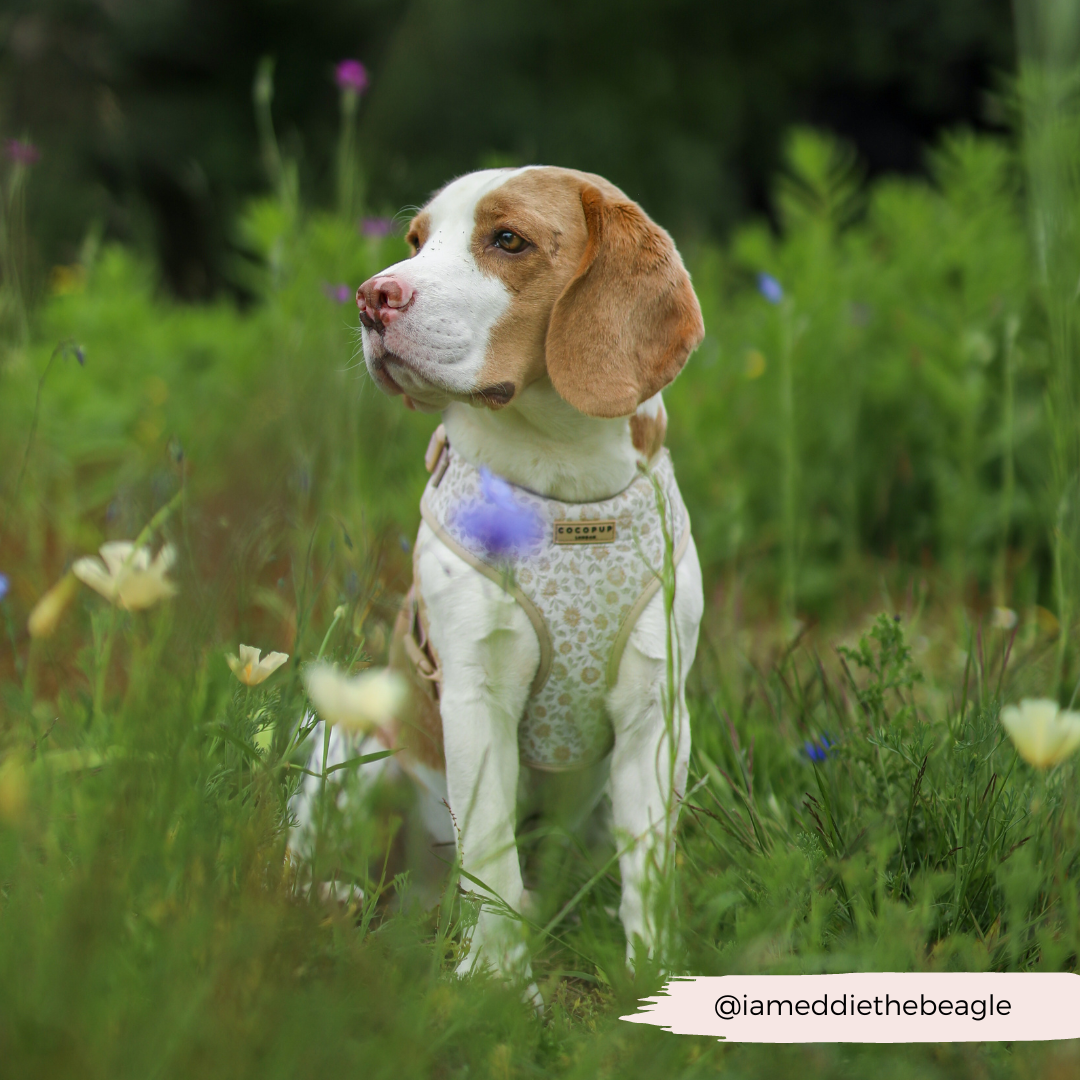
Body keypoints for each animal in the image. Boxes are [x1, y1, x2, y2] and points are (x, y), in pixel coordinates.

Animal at [304, 168, 704, 993]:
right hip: (341, 739)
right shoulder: (475, 694)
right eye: (416, 241)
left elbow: (649, 866)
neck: (566, 487)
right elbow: (489, 851)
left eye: (508, 239)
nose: (371, 296)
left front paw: (653, 976)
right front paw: (496, 983)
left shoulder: (657, 709)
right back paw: (335, 898)